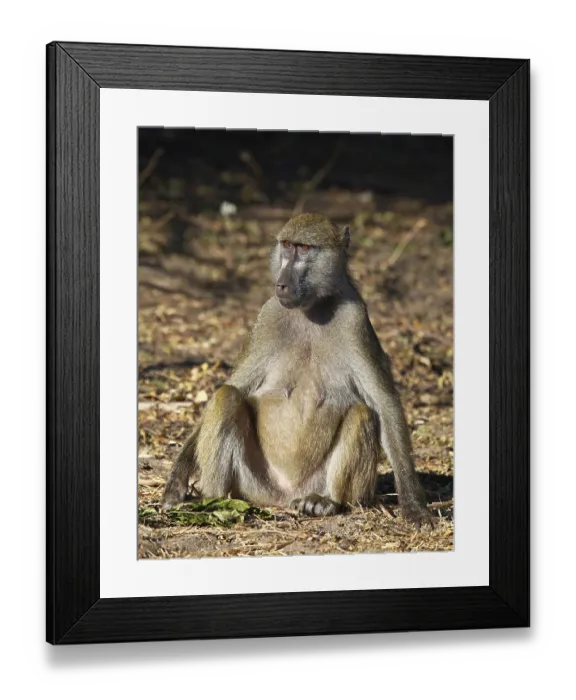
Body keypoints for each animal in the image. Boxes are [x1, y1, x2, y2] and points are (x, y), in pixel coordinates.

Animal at [162, 213, 432, 526]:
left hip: (318, 485)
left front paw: (413, 505)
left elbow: (384, 404)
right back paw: (212, 500)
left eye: (304, 249)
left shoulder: (355, 320)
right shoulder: (267, 317)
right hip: (253, 484)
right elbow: (237, 385)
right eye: (287, 246)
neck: (311, 310)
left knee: (361, 414)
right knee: (226, 396)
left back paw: (327, 502)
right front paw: (177, 478)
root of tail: (284, 496)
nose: (282, 284)